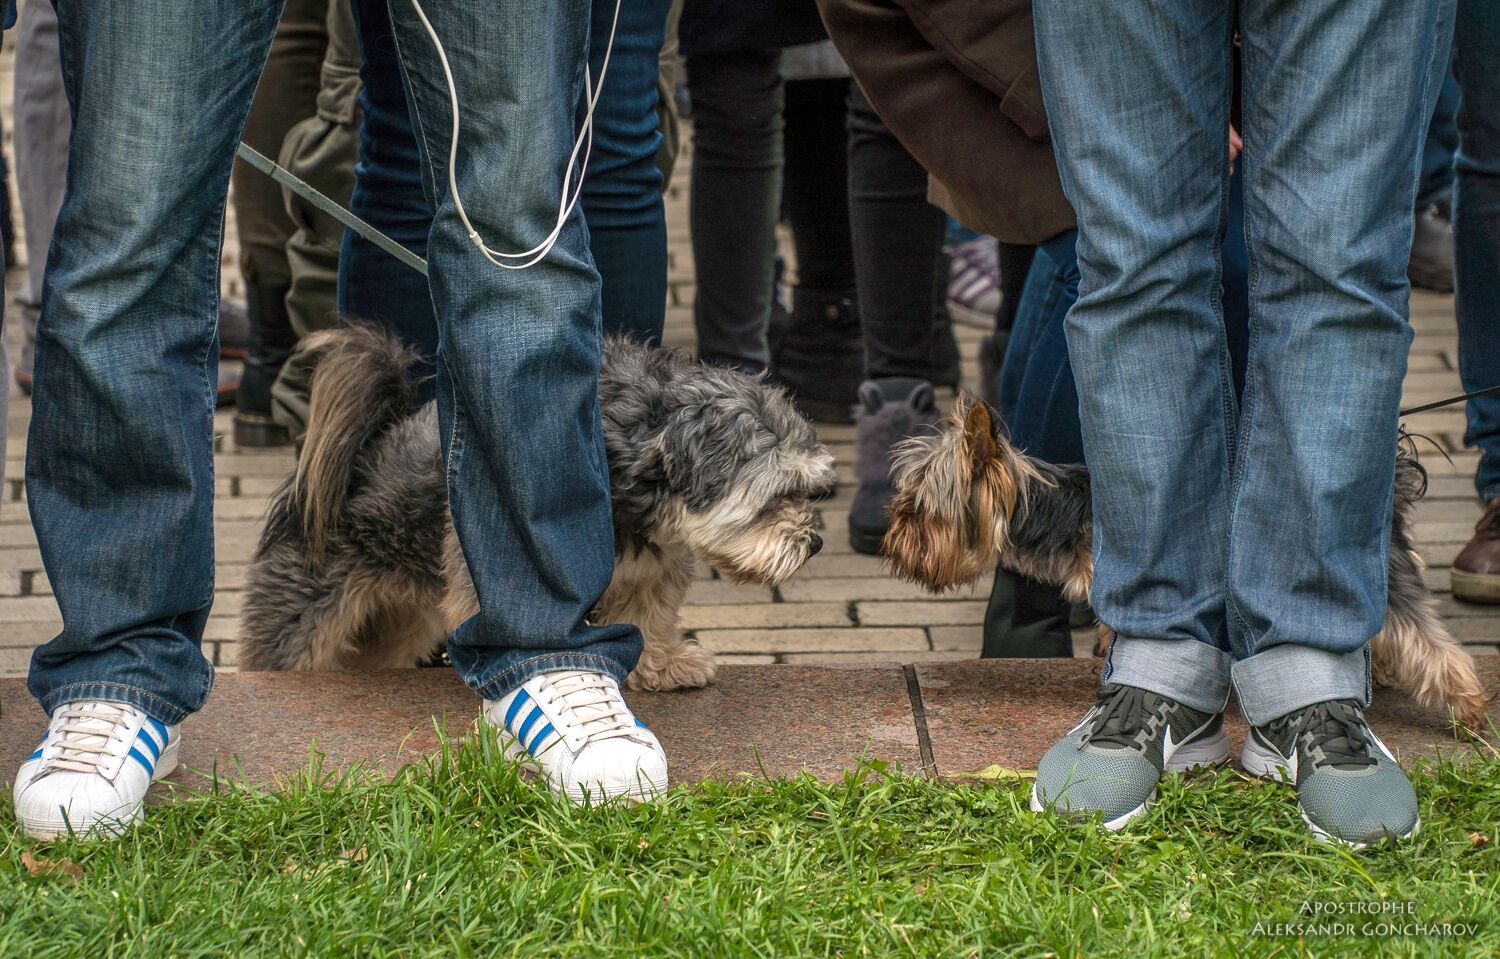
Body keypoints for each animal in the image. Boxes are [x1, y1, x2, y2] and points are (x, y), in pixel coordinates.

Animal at [240, 327, 840, 693]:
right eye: (776, 495)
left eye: (811, 491)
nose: (815, 543)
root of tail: (364, 454)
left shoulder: (650, 569)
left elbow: (647, 619)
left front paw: (664, 664)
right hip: (306, 612)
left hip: (402, 619)